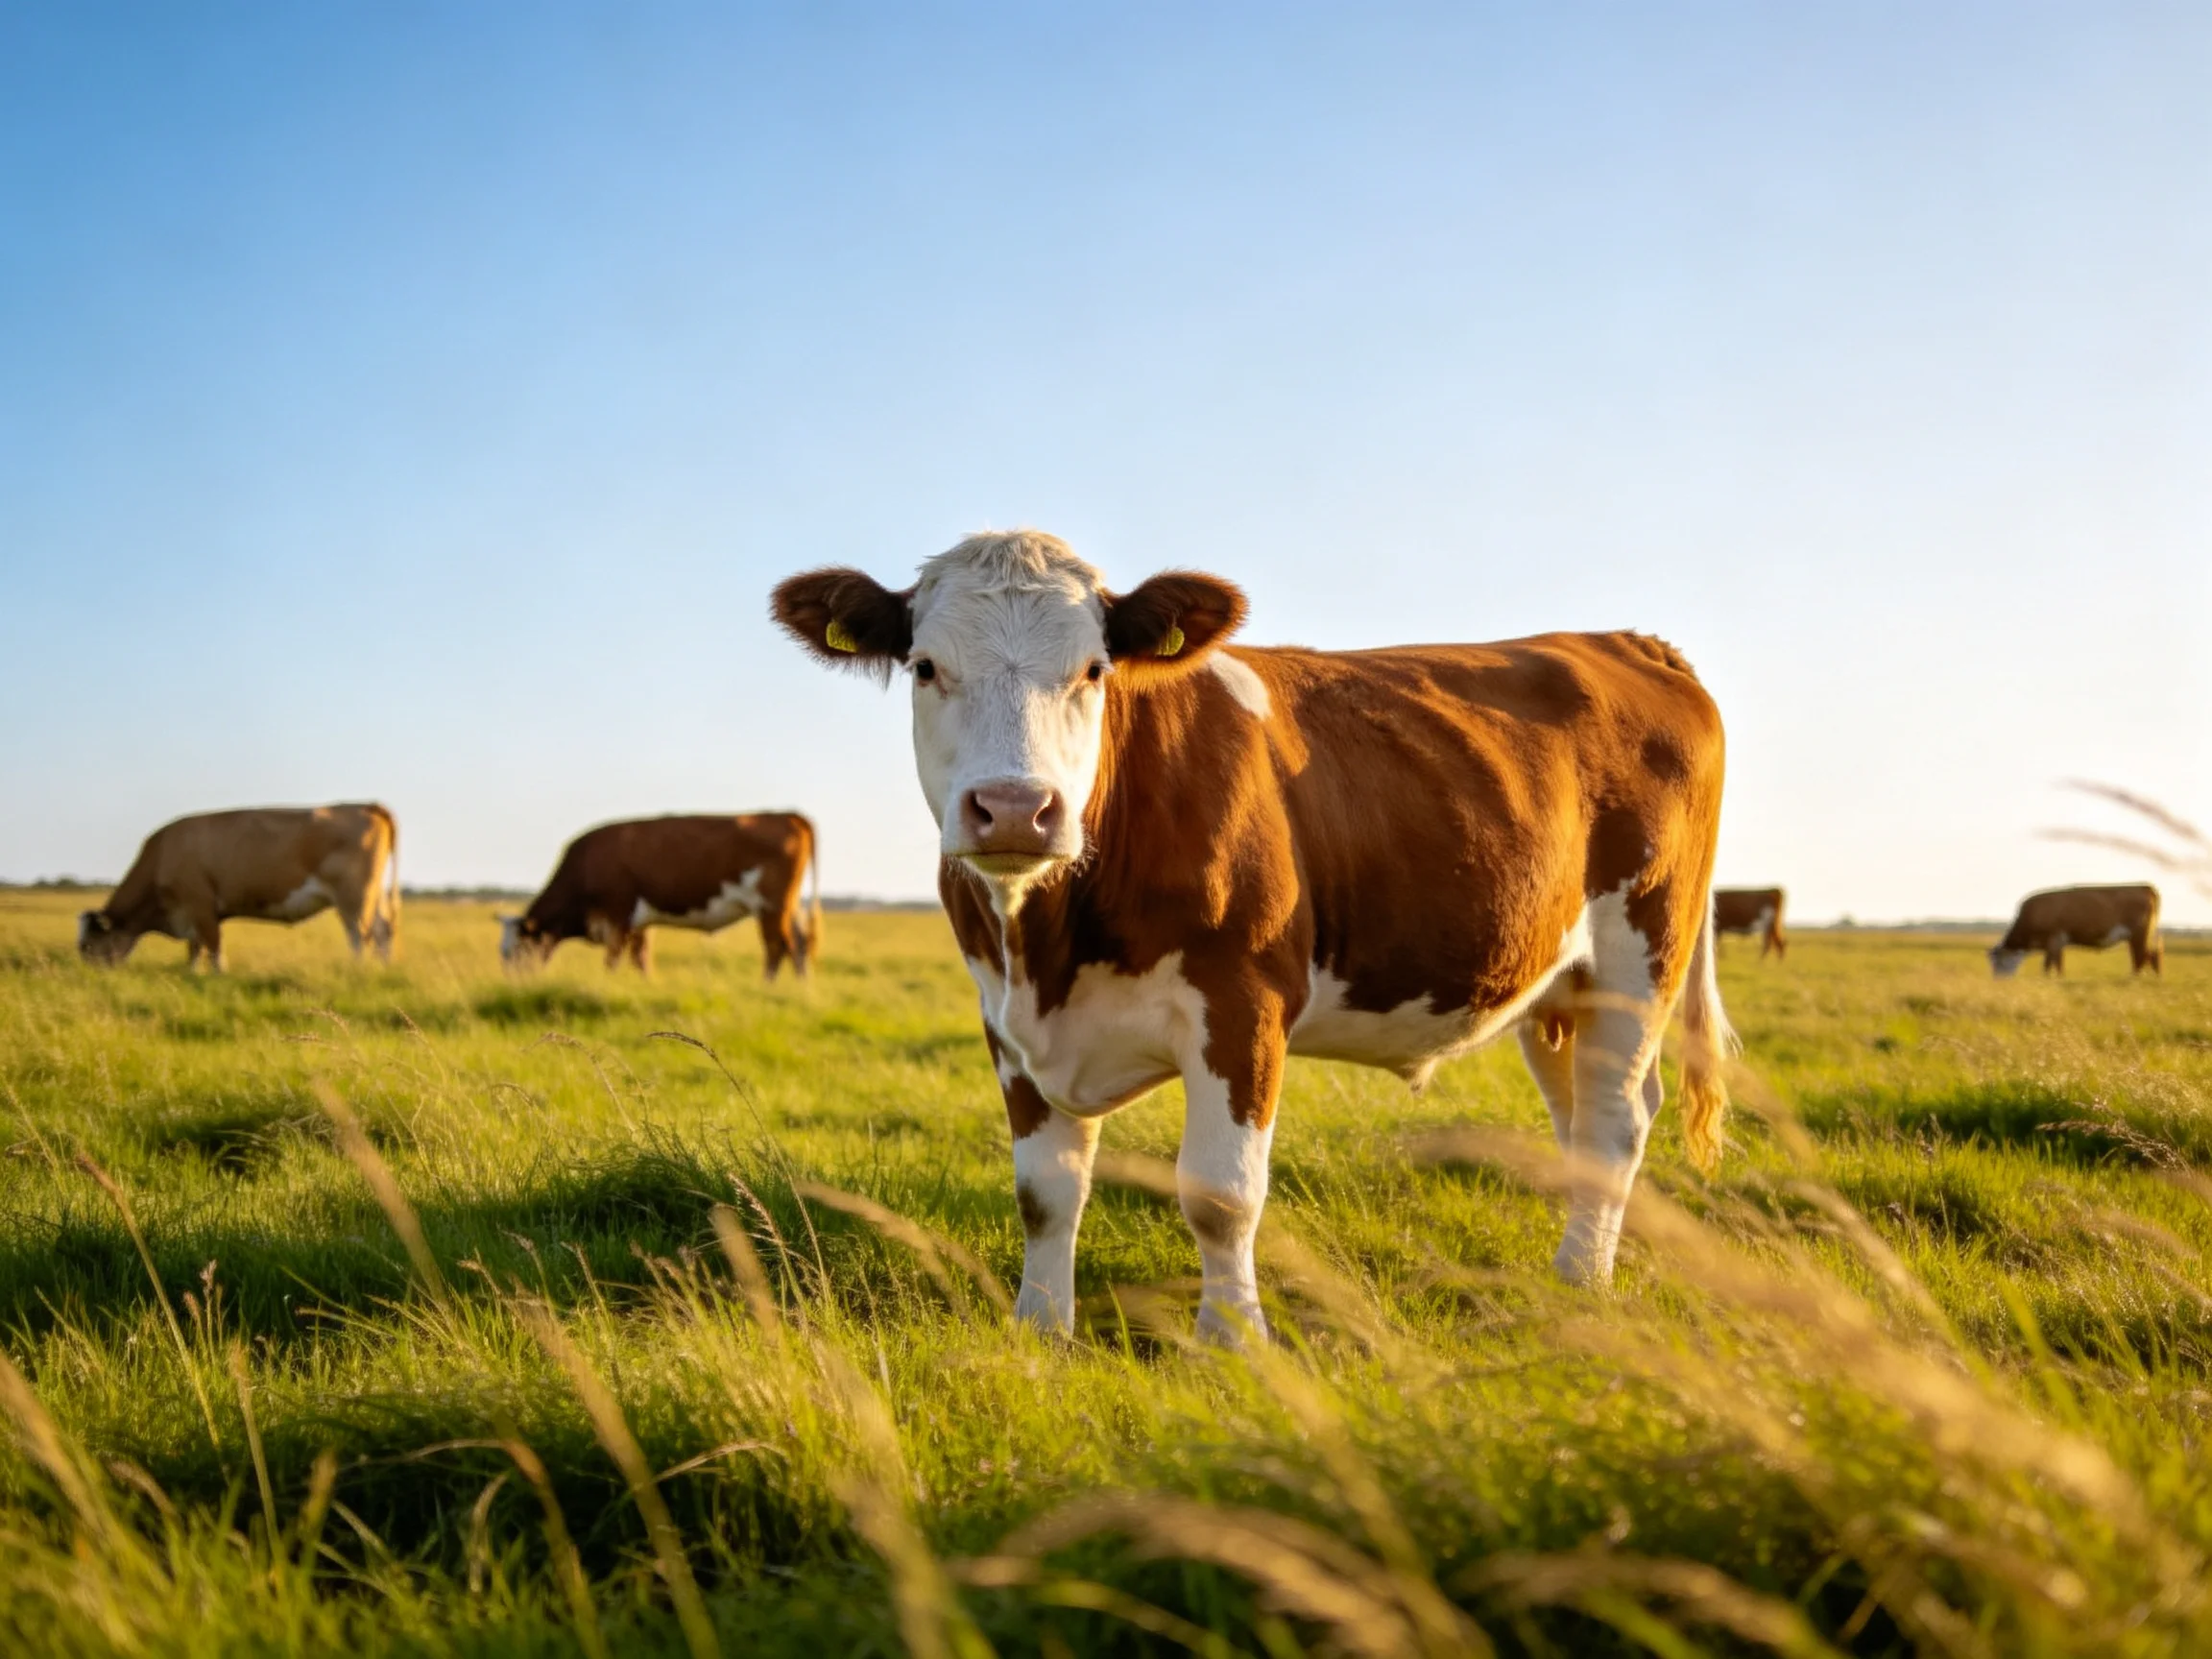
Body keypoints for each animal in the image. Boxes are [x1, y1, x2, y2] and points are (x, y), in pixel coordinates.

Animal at [78, 804, 400, 971]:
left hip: (353, 898)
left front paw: (217, 976)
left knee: (360, 935)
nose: (88, 975)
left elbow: (212, 947)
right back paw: (383, 970)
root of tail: (363, 805)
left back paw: (357, 970)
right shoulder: (194, 912)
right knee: (382, 930)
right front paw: (191, 974)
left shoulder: (199, 905)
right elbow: (195, 948)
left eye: (88, 945)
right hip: (373, 896)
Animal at [499, 814, 820, 978]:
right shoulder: (639, 923)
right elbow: (640, 957)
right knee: (800, 942)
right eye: (502, 953)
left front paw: (607, 983)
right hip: (788, 905)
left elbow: (612, 958)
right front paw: (645, 983)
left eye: (516, 951)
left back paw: (769, 986)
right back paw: (800, 986)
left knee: (777, 946)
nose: (513, 985)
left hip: (770, 905)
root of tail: (787, 815)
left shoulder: (618, 914)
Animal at [772, 530, 1733, 1341]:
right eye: (926, 667)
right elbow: (1045, 1191)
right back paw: (1588, 1264)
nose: (1015, 807)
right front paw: (1040, 1331)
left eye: (1094, 670)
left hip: (1641, 951)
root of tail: (1624, 641)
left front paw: (1233, 1339)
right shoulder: (1005, 1019)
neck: (1047, 945)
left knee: (1614, 1121)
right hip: (1554, 984)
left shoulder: (1241, 1004)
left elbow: (1220, 1195)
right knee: (1584, 1120)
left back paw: (1581, 1282)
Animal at [1989, 884, 2161, 978]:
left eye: (2000, 962)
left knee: (2142, 956)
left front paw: (2052, 978)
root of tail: (2144, 887)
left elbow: (2052, 963)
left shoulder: (2055, 938)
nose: (1998, 981)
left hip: (2140, 934)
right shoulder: (2055, 943)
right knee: (2150, 955)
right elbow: (2053, 963)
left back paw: (2135, 978)